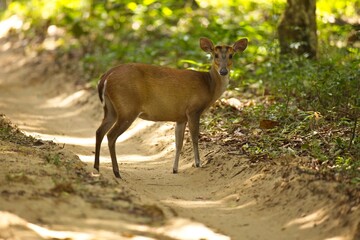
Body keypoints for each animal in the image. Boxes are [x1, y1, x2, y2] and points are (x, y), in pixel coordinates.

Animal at [94, 36, 249, 177]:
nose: (223, 71)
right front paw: (198, 163)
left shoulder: (180, 117)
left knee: (99, 131)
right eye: (215, 55)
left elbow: (178, 143)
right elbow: (194, 138)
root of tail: (106, 76)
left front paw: (175, 169)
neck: (209, 86)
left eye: (231, 55)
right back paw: (116, 172)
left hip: (111, 109)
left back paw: (97, 167)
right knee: (111, 135)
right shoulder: (193, 110)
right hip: (127, 108)